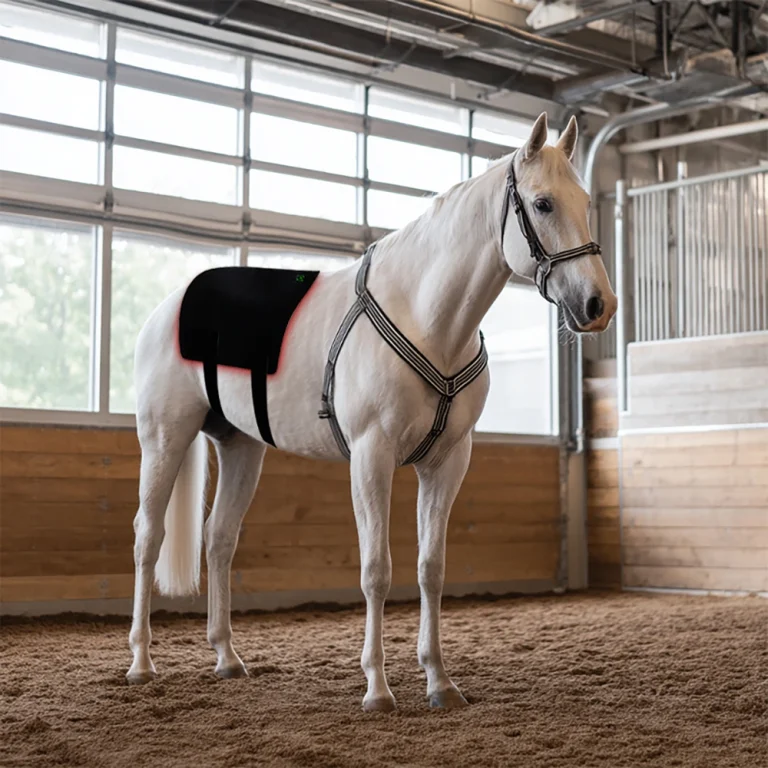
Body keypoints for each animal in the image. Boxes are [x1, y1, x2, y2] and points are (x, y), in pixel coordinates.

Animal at [126, 112, 617, 711]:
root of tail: (167, 309)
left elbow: (431, 569)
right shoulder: (371, 455)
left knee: (219, 539)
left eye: (586, 201)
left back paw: (227, 658)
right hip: (165, 437)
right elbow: (376, 571)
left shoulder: (447, 463)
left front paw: (440, 682)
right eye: (543, 203)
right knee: (148, 536)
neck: (427, 319)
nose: (599, 306)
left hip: (240, 447)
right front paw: (378, 689)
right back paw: (141, 663)